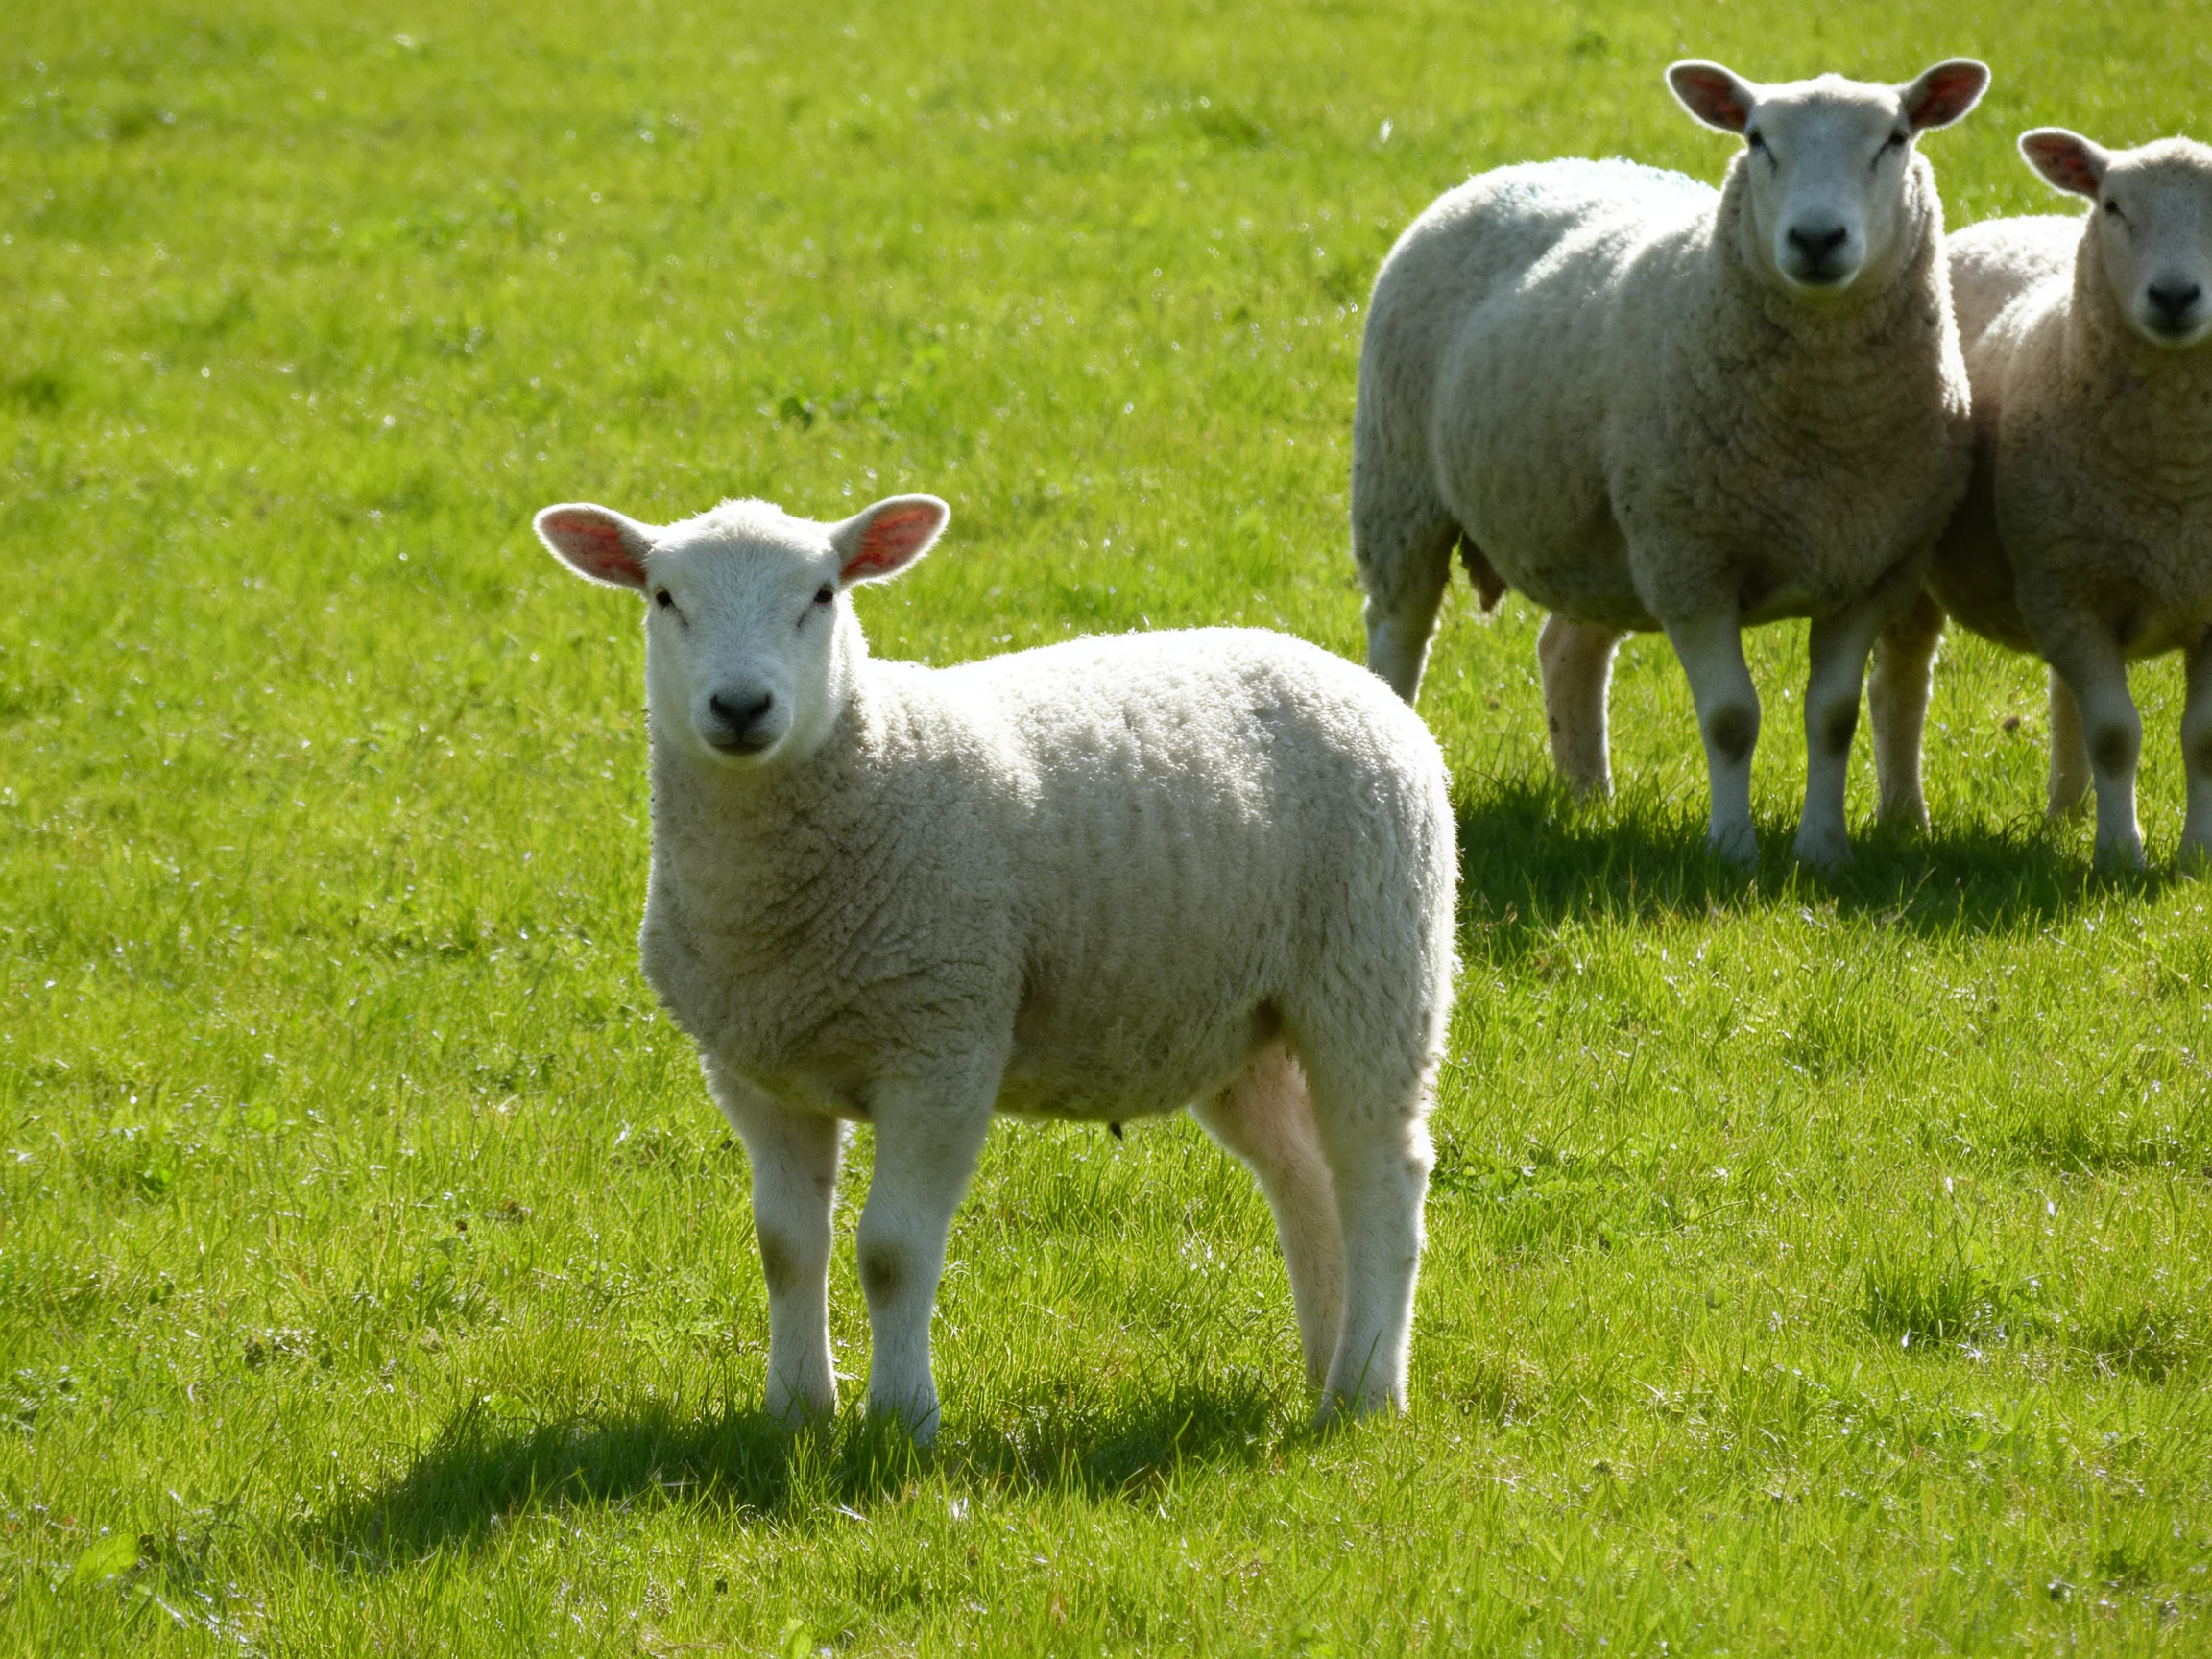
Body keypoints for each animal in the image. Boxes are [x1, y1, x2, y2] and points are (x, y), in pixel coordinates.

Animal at [530, 491, 1458, 1439]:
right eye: (663, 597)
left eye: (823, 595)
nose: (743, 706)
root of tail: (1353, 680)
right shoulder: (758, 1074)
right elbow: (786, 1248)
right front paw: (797, 1413)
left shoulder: (943, 1045)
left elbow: (893, 1252)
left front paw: (901, 1420)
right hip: (1245, 1029)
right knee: (1307, 1180)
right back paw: (1328, 1366)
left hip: (1374, 971)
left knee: (1383, 1179)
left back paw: (1366, 1395)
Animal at [1352, 57, 1989, 869]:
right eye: (1756, 139)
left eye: (1896, 138)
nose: (1816, 238)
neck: (1825, 437)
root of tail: (1514, 169)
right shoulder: (1691, 563)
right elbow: (1730, 719)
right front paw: (1734, 852)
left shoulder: (1873, 570)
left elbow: (1834, 716)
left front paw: (1824, 852)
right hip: (1401, 492)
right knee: (1398, 638)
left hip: (1598, 535)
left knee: (1566, 649)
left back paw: (1589, 801)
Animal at [1867, 132, 2212, 869]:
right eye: (2113, 207)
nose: (2174, 296)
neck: (2176, 479)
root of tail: (2007, 222)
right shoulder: (2068, 593)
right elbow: (2116, 734)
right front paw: (2120, 858)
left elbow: (2201, 738)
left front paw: (2197, 858)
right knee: (1899, 686)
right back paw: (1906, 818)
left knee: (2064, 698)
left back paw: (2067, 815)